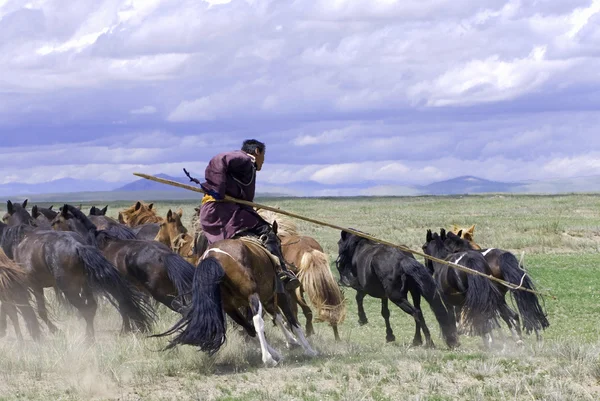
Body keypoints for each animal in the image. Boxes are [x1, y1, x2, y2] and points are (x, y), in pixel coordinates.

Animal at [0, 202, 155, 340]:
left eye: (4, 217)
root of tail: (78, 247)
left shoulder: (33, 286)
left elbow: (38, 311)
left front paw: (54, 330)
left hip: (70, 288)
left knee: (88, 308)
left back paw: (90, 338)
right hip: (87, 284)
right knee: (97, 306)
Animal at [157, 222, 322, 366]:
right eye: (278, 243)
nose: (283, 264)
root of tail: (213, 257)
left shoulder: (267, 299)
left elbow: (278, 317)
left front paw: (292, 342)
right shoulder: (279, 294)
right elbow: (292, 321)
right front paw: (308, 349)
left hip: (229, 306)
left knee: (249, 328)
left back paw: (275, 354)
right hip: (252, 296)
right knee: (257, 323)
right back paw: (268, 359)